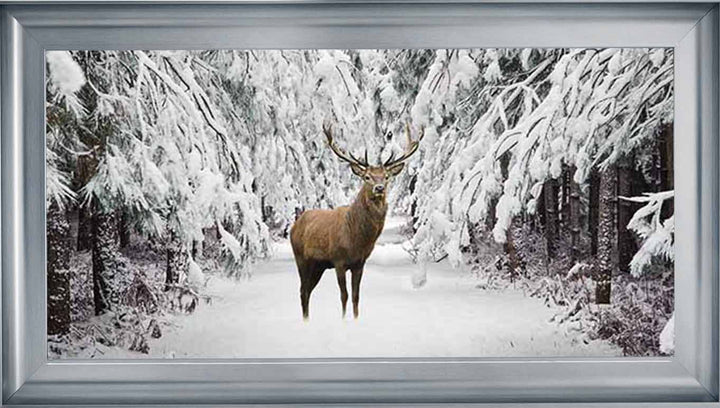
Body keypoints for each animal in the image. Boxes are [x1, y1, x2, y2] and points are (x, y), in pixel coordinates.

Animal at [290, 123, 423, 320]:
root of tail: (295, 224)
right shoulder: (338, 260)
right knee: (302, 291)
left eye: (386, 176)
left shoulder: (359, 263)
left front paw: (355, 319)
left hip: (318, 265)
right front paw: (344, 320)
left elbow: (355, 296)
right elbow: (344, 295)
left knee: (307, 291)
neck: (356, 239)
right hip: (301, 258)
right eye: (367, 176)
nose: (379, 188)